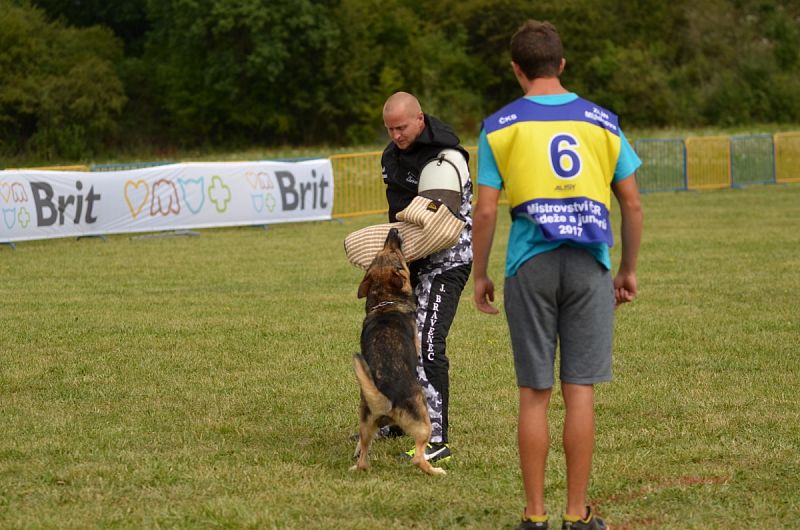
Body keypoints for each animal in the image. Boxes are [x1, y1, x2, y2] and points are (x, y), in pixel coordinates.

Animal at [352, 227, 446, 474]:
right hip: (424, 422)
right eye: (397, 255)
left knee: (363, 455)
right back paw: (435, 471)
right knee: (418, 457)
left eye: (381, 252)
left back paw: (357, 465)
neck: (385, 302)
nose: (394, 229)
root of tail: (388, 397)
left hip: (366, 421)